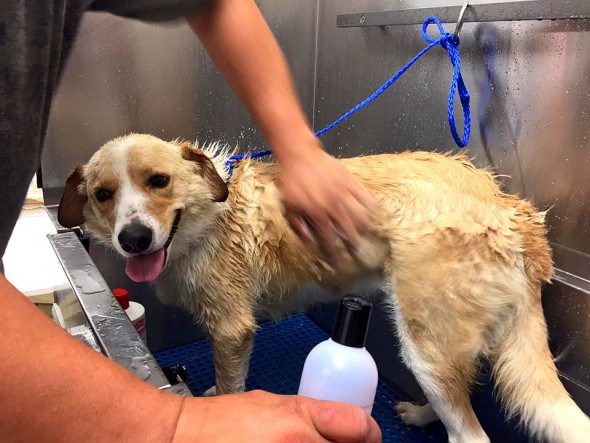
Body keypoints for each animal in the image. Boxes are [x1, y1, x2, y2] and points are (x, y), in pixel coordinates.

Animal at [59, 134, 590, 443]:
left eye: (159, 181)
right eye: (103, 195)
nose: (133, 238)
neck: (210, 213)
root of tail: (512, 211)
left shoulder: (232, 329)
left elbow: (231, 385)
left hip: (423, 343)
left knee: (471, 435)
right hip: (443, 342)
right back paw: (421, 416)